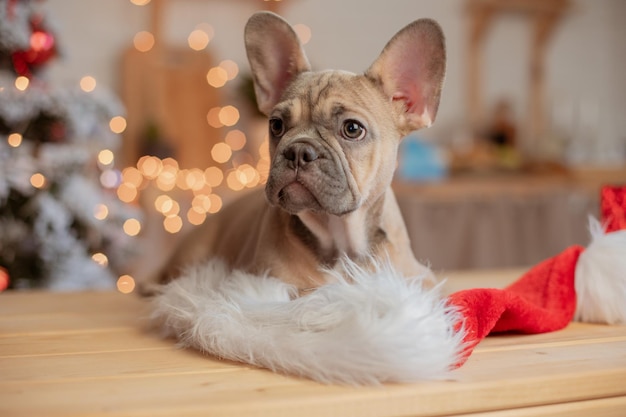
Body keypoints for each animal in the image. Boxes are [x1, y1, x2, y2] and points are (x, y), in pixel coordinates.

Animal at [151, 10, 444, 292]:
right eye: (276, 125)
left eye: (352, 129)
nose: (299, 152)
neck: (339, 238)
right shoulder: (267, 279)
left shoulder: (420, 277)